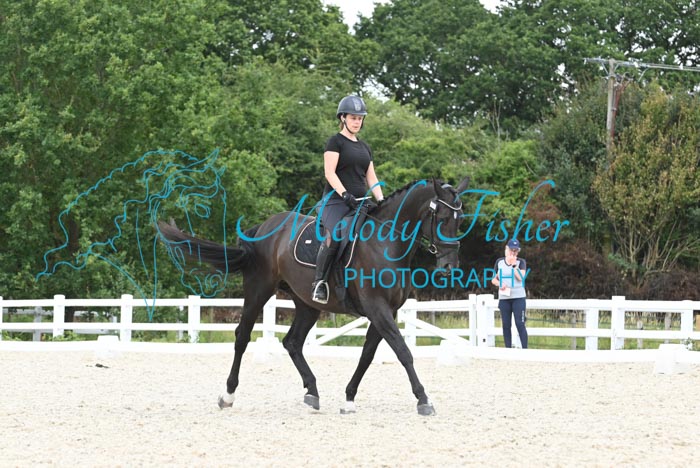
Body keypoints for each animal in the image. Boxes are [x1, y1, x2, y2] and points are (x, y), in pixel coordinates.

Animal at [157, 176, 469, 415]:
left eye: (460, 220)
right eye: (441, 218)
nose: (449, 267)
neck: (385, 244)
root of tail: (265, 227)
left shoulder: (385, 311)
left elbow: (367, 355)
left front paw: (349, 399)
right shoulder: (377, 308)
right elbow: (403, 352)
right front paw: (424, 399)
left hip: (306, 303)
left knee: (292, 342)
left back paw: (312, 392)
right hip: (259, 289)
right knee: (242, 336)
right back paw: (228, 395)